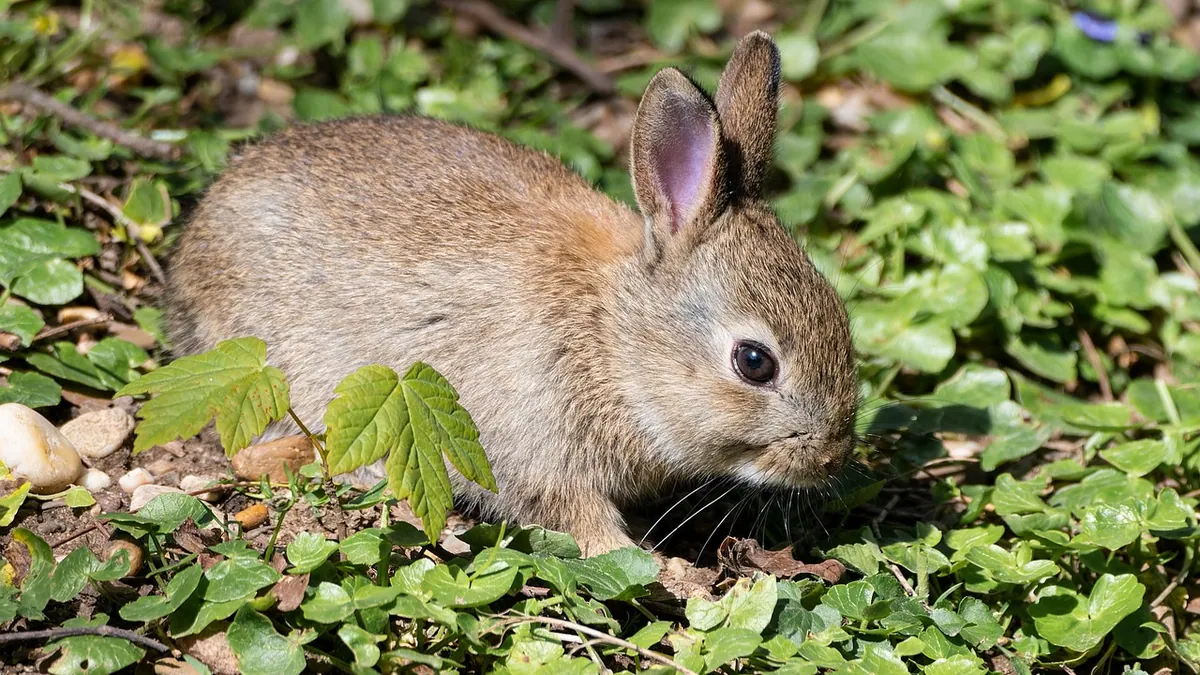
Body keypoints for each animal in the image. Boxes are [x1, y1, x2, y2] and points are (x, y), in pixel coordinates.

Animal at [165, 31, 859, 556]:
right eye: (754, 362)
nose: (831, 458)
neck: (613, 340)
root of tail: (198, 234)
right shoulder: (535, 447)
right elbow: (578, 519)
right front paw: (653, 569)